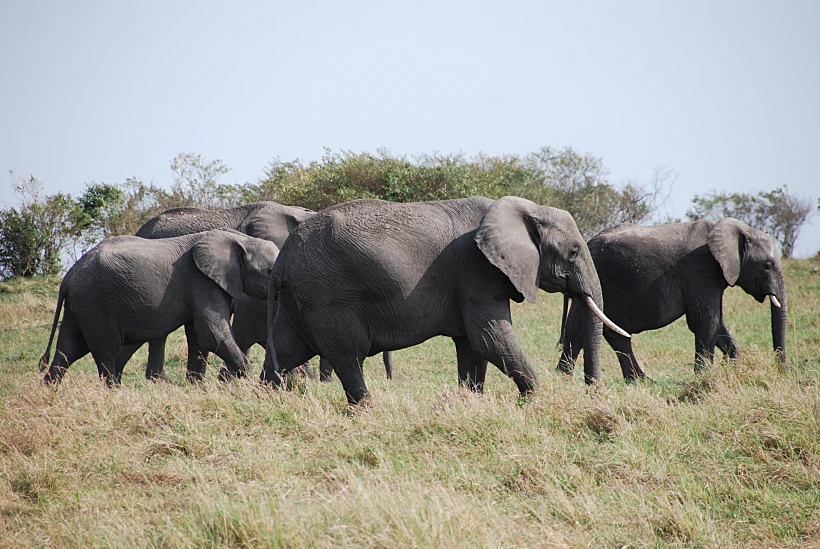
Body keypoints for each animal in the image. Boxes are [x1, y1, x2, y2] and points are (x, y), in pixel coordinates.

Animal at [40, 227, 278, 386]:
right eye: (270, 270)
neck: (242, 239)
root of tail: (68, 277)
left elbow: (199, 336)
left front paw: (196, 387)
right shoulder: (202, 281)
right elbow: (211, 332)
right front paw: (246, 381)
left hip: (80, 305)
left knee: (68, 350)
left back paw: (49, 392)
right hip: (96, 302)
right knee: (105, 351)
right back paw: (114, 392)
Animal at [262, 195, 628, 404]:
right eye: (574, 252)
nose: (592, 393)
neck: (527, 209)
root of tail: (282, 263)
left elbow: (473, 345)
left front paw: (472, 402)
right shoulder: (477, 269)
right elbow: (489, 337)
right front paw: (536, 402)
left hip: (300, 300)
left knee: (285, 350)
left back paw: (265, 402)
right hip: (328, 297)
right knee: (348, 355)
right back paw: (367, 411)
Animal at [556, 216, 788, 378]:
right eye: (767, 265)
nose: (782, 372)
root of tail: (588, 241)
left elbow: (717, 323)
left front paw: (730, 371)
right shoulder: (702, 271)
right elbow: (705, 321)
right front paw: (704, 378)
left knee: (609, 333)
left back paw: (641, 381)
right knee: (582, 329)